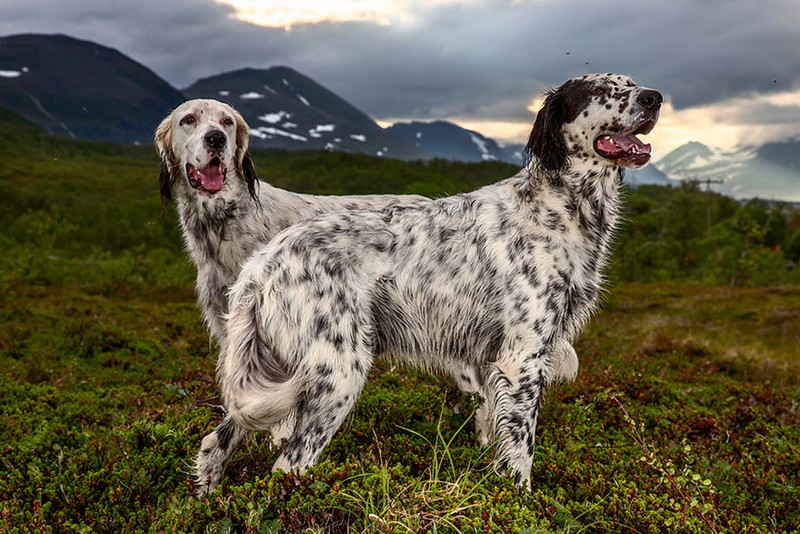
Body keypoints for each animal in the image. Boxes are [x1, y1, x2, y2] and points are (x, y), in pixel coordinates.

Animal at [192, 75, 656, 494]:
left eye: (631, 82)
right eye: (598, 90)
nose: (654, 98)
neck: (558, 208)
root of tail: (262, 265)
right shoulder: (522, 359)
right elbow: (520, 454)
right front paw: (519, 501)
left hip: (273, 373)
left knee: (217, 440)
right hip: (337, 374)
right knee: (288, 465)